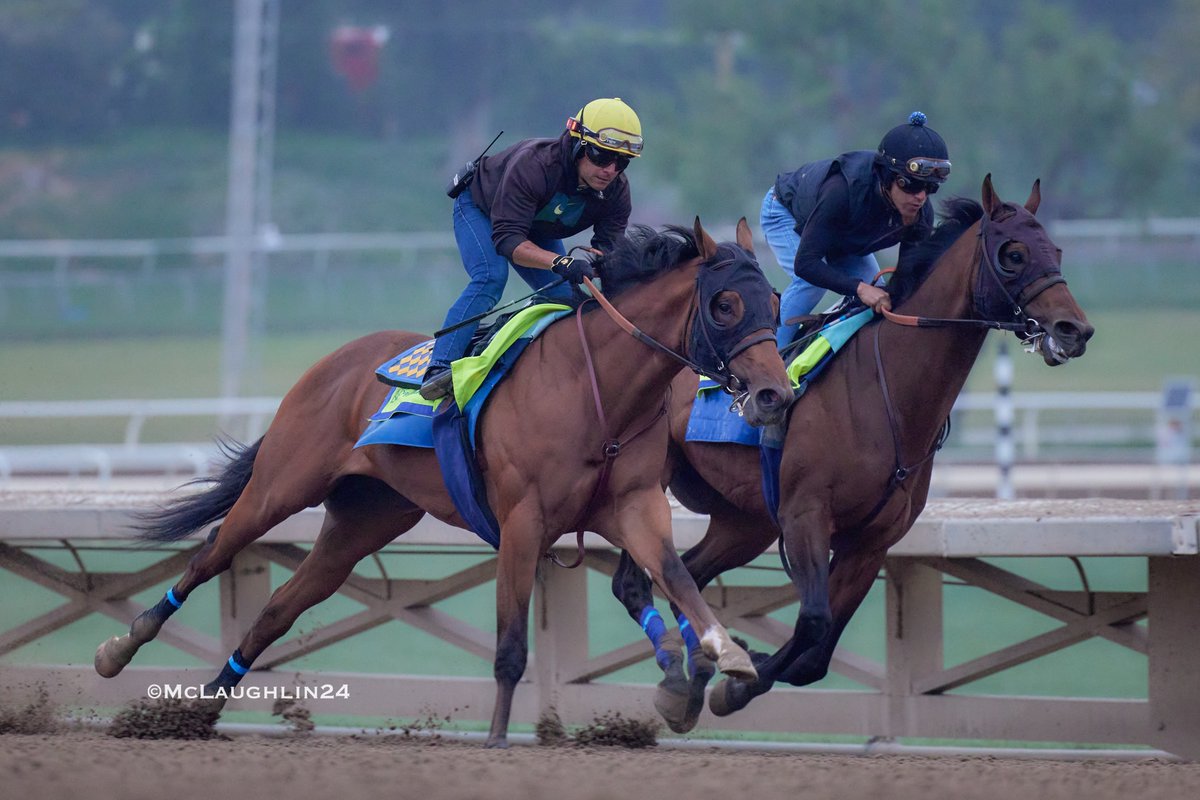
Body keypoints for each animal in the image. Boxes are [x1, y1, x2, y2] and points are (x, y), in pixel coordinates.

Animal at [96, 220, 796, 753]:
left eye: (776, 305)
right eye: (725, 305)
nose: (775, 396)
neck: (596, 390)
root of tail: (332, 361)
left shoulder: (635, 506)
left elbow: (675, 576)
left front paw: (724, 659)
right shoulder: (523, 520)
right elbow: (511, 643)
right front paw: (497, 738)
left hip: (362, 521)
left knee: (277, 610)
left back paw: (202, 710)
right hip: (281, 486)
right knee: (212, 552)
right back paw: (119, 650)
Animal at [614, 176, 1094, 734]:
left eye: (1056, 250)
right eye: (1013, 254)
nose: (1074, 330)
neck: (888, 393)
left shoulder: (873, 540)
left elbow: (815, 658)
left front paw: (743, 671)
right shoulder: (806, 515)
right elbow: (813, 621)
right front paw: (737, 685)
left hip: (745, 521)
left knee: (686, 574)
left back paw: (692, 680)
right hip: (649, 488)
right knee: (636, 580)